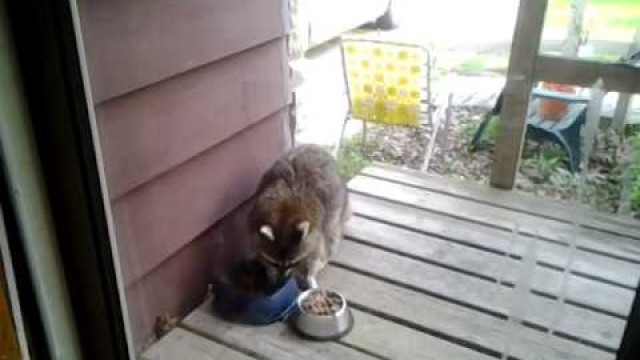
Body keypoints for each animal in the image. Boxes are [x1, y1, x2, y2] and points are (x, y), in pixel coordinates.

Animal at [250, 145, 350, 288]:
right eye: (275, 263)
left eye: (292, 263)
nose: (280, 284)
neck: (285, 216)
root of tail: (315, 146)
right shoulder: (254, 224)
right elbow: (260, 252)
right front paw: (270, 273)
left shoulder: (316, 232)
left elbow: (316, 254)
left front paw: (310, 274)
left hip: (337, 205)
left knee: (332, 235)